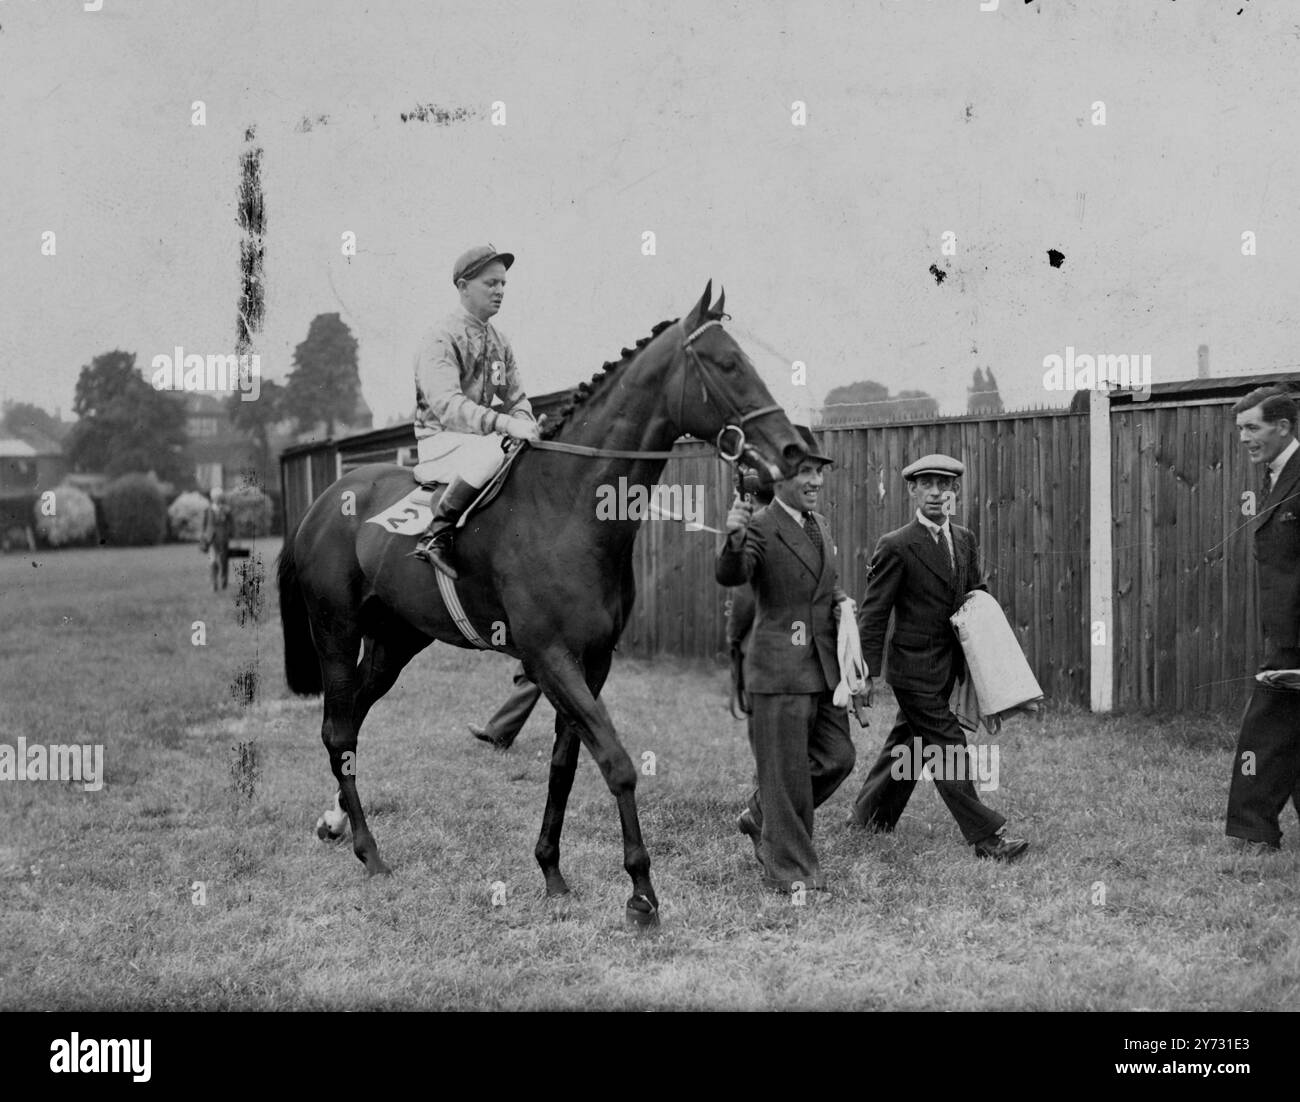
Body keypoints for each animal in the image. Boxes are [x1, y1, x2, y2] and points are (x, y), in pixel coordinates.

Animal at [276, 279, 800, 925]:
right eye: (729, 364)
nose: (793, 448)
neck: (566, 508)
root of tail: (323, 502)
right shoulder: (549, 656)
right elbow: (617, 762)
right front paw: (641, 891)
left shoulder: (592, 660)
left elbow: (566, 764)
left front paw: (551, 870)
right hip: (336, 631)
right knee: (337, 730)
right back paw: (370, 851)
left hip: (394, 641)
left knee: (351, 719)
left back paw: (336, 824)